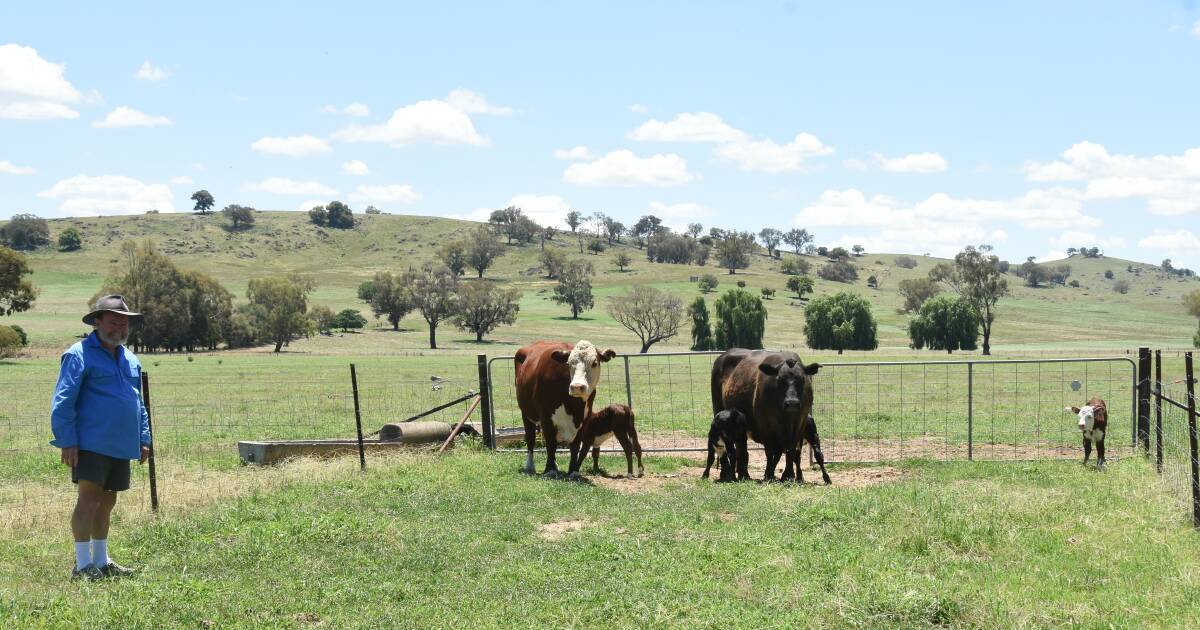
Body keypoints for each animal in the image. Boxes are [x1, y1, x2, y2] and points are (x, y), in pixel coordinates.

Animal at [513, 338, 614, 477]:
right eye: (569, 363)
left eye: (594, 363)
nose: (577, 387)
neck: (572, 405)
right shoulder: (546, 417)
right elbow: (551, 444)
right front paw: (550, 470)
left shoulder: (585, 419)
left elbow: (575, 446)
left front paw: (573, 471)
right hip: (526, 413)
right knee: (530, 438)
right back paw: (530, 466)